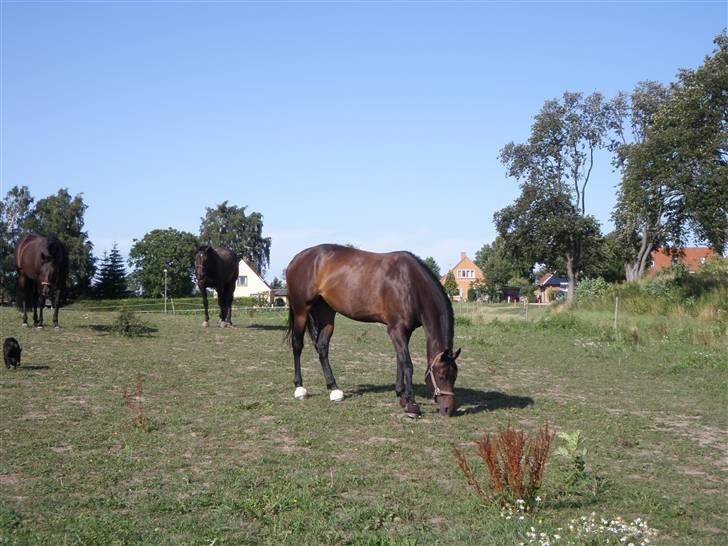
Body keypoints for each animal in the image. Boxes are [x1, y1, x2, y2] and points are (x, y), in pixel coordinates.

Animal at [286, 243, 460, 416]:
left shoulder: (406, 331)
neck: (410, 282)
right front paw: (412, 404)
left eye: (455, 376)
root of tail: (296, 259)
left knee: (322, 347)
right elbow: (408, 364)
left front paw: (401, 394)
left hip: (326, 312)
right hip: (301, 311)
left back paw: (334, 389)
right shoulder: (396, 330)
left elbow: (400, 360)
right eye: (441, 376)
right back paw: (300, 388)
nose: (447, 410)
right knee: (297, 345)